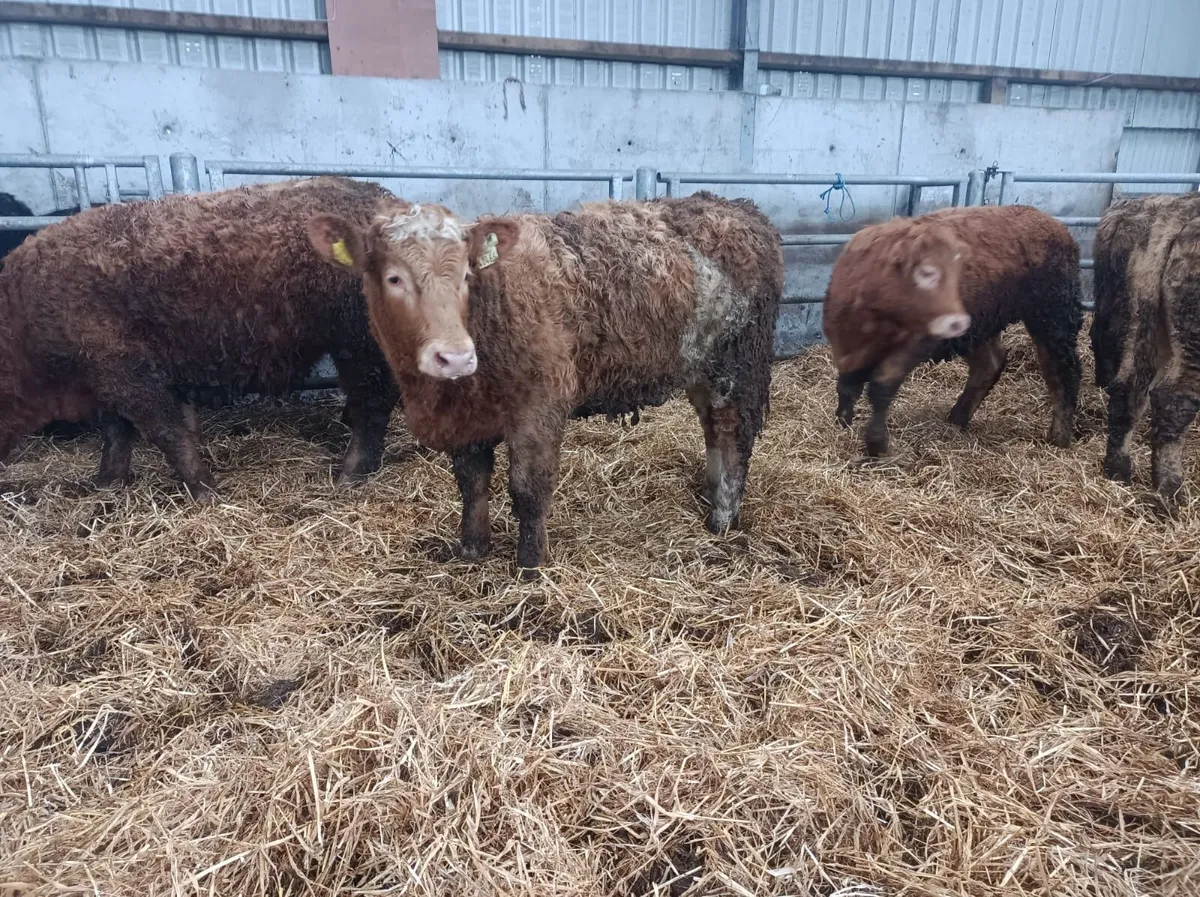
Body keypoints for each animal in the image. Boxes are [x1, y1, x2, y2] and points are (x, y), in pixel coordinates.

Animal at [0, 176, 400, 499]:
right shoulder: (105, 375)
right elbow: (116, 432)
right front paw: (108, 484)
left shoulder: (121, 367)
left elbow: (165, 431)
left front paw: (205, 490)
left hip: (360, 342)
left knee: (373, 403)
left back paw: (350, 475)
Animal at [307, 191, 783, 576]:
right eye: (394, 277)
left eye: (465, 276)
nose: (454, 356)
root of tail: (736, 207)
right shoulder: (467, 420)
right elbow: (471, 483)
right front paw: (473, 549)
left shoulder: (540, 407)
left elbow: (528, 490)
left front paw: (530, 566)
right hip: (701, 366)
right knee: (711, 427)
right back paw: (710, 492)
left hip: (736, 363)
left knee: (732, 432)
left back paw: (722, 517)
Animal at [823, 204, 1082, 457]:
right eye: (927, 272)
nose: (956, 321)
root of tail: (1053, 223)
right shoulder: (848, 346)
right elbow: (847, 386)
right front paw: (843, 424)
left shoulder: (915, 343)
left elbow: (881, 389)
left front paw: (876, 445)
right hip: (982, 324)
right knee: (990, 364)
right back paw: (958, 417)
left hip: (1054, 314)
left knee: (1063, 372)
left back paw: (1059, 436)